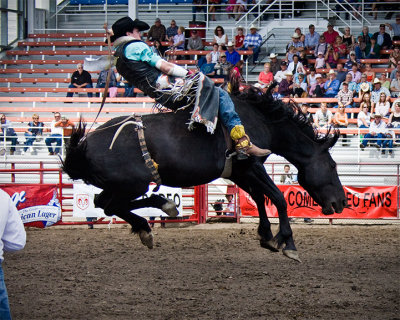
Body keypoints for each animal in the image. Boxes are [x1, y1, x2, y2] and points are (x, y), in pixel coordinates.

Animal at [62, 86, 346, 262]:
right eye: (333, 166)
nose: (341, 202)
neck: (263, 121)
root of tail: (84, 144)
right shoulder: (252, 165)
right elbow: (277, 197)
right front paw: (288, 243)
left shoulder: (241, 171)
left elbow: (259, 198)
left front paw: (266, 236)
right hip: (132, 183)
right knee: (110, 204)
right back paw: (157, 214)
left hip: (121, 185)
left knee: (106, 204)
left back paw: (155, 216)